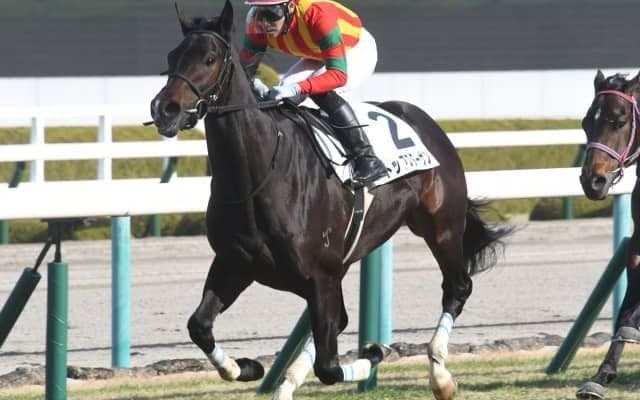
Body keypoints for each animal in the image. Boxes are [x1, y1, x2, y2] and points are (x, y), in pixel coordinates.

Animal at [149, 1, 510, 399]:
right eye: (172, 56)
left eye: (209, 58)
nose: (164, 109)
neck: (258, 176)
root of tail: (426, 122)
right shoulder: (236, 263)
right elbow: (199, 325)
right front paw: (246, 366)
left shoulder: (320, 276)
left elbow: (330, 366)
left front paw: (376, 352)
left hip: (442, 228)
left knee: (457, 288)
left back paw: (440, 376)